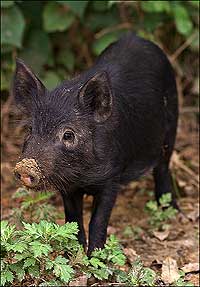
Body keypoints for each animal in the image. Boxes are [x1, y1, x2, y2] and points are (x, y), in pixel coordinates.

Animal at [13, 32, 177, 255]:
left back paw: (171, 210)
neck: (83, 175)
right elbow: (73, 220)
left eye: (68, 135)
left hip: (171, 127)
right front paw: (73, 254)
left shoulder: (112, 178)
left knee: (162, 168)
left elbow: (97, 221)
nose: (25, 167)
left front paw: (95, 257)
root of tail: (137, 37)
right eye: (30, 129)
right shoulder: (68, 186)